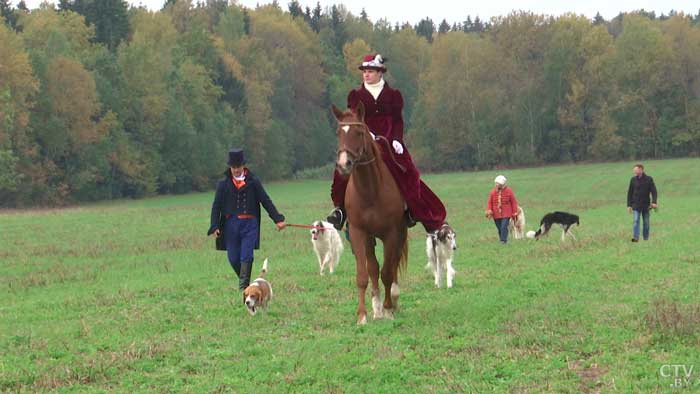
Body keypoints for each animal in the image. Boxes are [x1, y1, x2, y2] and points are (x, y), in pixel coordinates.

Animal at [334, 101, 410, 324]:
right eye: (338, 133)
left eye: (359, 133)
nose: (343, 164)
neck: (370, 190)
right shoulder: (359, 233)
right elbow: (364, 274)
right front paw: (363, 315)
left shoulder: (391, 234)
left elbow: (387, 272)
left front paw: (388, 308)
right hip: (369, 239)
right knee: (373, 268)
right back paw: (376, 308)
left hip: (399, 234)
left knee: (392, 265)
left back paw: (393, 299)